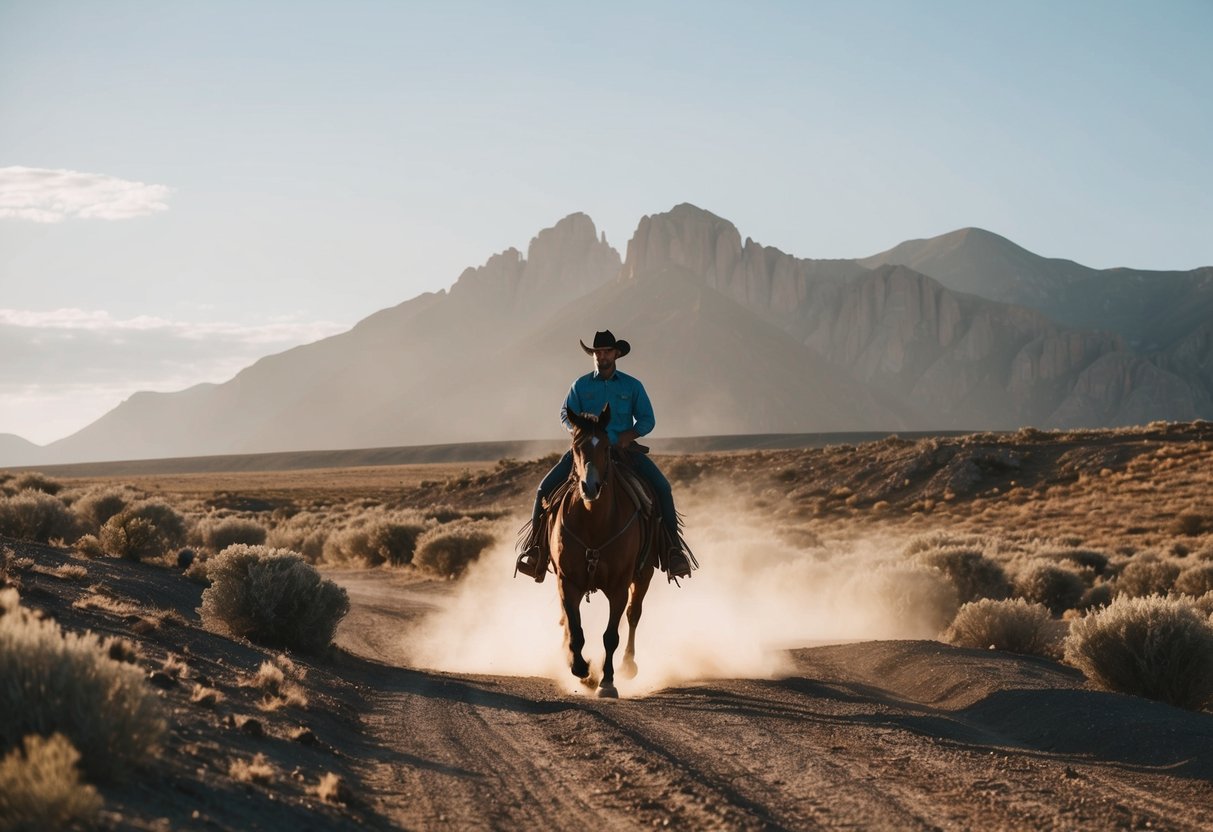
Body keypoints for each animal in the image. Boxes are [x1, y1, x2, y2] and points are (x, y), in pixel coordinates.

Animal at [555, 405, 659, 698]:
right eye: (576, 447)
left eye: (605, 448)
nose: (590, 487)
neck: (595, 522)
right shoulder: (568, 581)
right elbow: (575, 628)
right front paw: (581, 669)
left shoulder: (618, 586)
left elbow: (611, 635)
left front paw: (607, 681)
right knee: (565, 619)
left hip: (644, 575)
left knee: (634, 615)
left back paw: (628, 665)